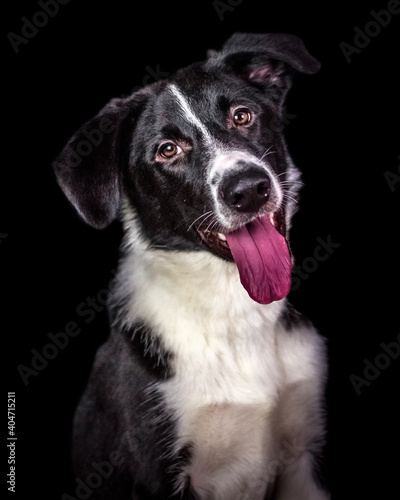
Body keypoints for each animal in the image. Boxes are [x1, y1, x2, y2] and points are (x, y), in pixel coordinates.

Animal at [54, 33, 332, 498]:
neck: (234, 311)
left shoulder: (302, 456)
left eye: (243, 115)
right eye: (167, 151)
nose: (248, 189)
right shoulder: (158, 474)